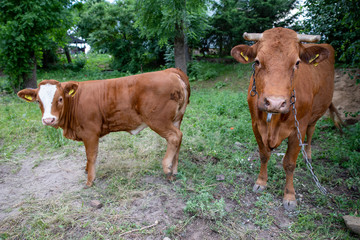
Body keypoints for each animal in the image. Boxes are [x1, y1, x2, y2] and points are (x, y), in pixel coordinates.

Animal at [17, 68, 190, 188]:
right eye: (38, 101)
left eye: (60, 99)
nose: (48, 119)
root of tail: (169, 71)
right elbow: (87, 155)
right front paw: (87, 170)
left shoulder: (90, 132)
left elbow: (91, 155)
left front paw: (90, 180)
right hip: (176, 119)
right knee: (179, 138)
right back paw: (174, 169)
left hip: (158, 120)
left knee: (174, 137)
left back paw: (167, 167)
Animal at [232, 27, 338, 210]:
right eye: (257, 61)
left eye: (297, 63)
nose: (275, 102)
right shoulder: (255, 125)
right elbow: (264, 155)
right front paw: (261, 182)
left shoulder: (298, 128)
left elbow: (289, 163)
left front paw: (289, 196)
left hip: (315, 115)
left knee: (311, 132)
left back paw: (308, 155)